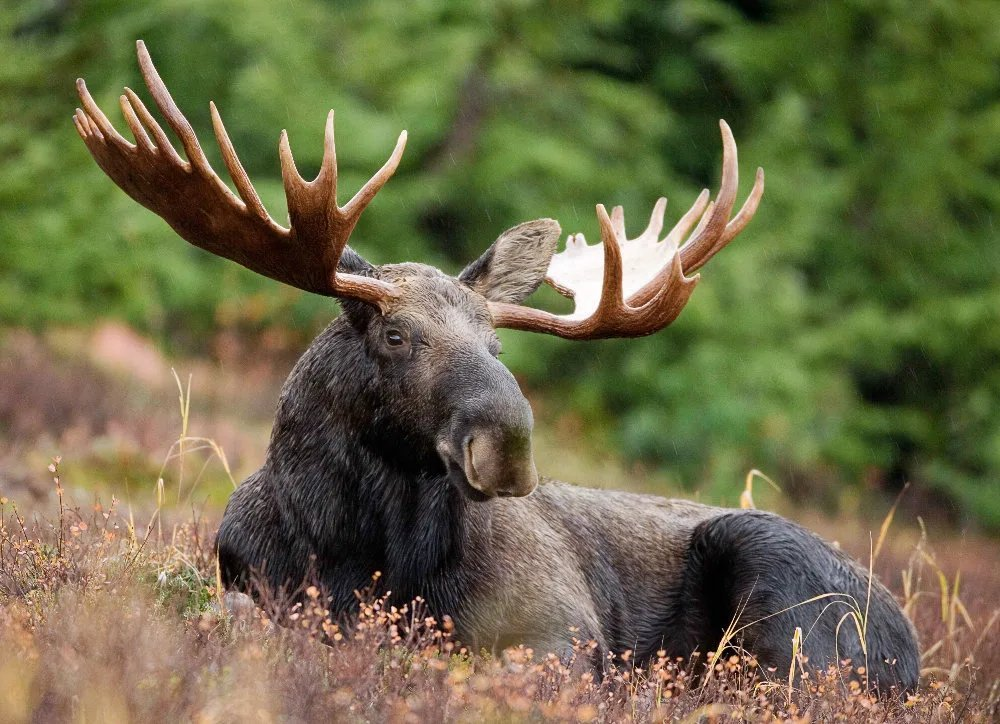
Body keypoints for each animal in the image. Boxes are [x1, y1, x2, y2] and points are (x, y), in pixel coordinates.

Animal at [76, 41, 920, 696]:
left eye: (498, 346)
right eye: (395, 335)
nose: (507, 445)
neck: (360, 551)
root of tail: (911, 649)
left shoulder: (562, 630)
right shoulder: (249, 584)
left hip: (783, 594)